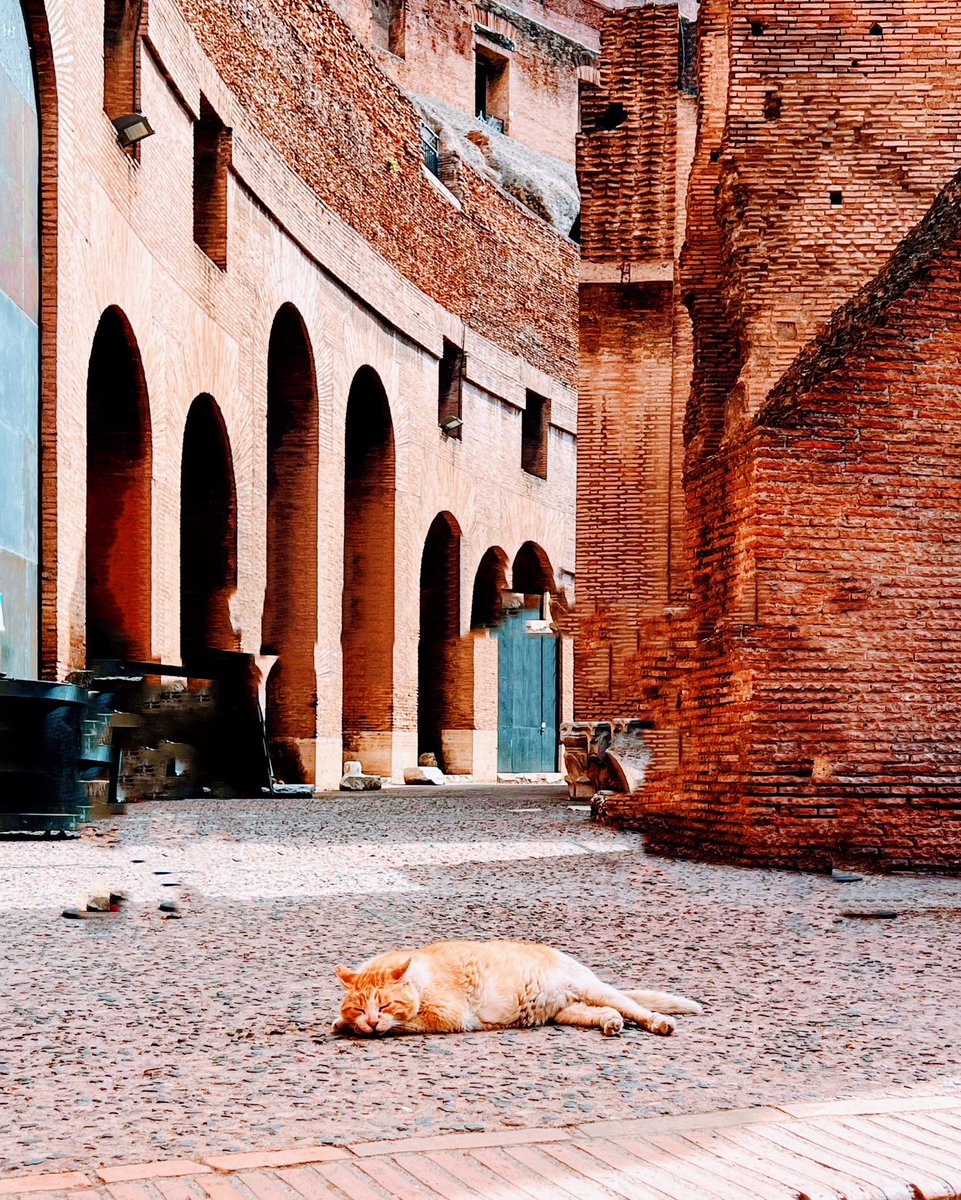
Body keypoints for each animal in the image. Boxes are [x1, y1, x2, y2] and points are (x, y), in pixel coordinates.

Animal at [333, 940, 700, 1036]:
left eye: (384, 1005)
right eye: (360, 1006)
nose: (371, 1020)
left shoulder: (446, 1016)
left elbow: (402, 1024)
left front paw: (356, 1028)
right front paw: (345, 1022)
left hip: (592, 989)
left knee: (633, 1007)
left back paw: (659, 1023)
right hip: (567, 1011)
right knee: (606, 1012)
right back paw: (610, 1024)